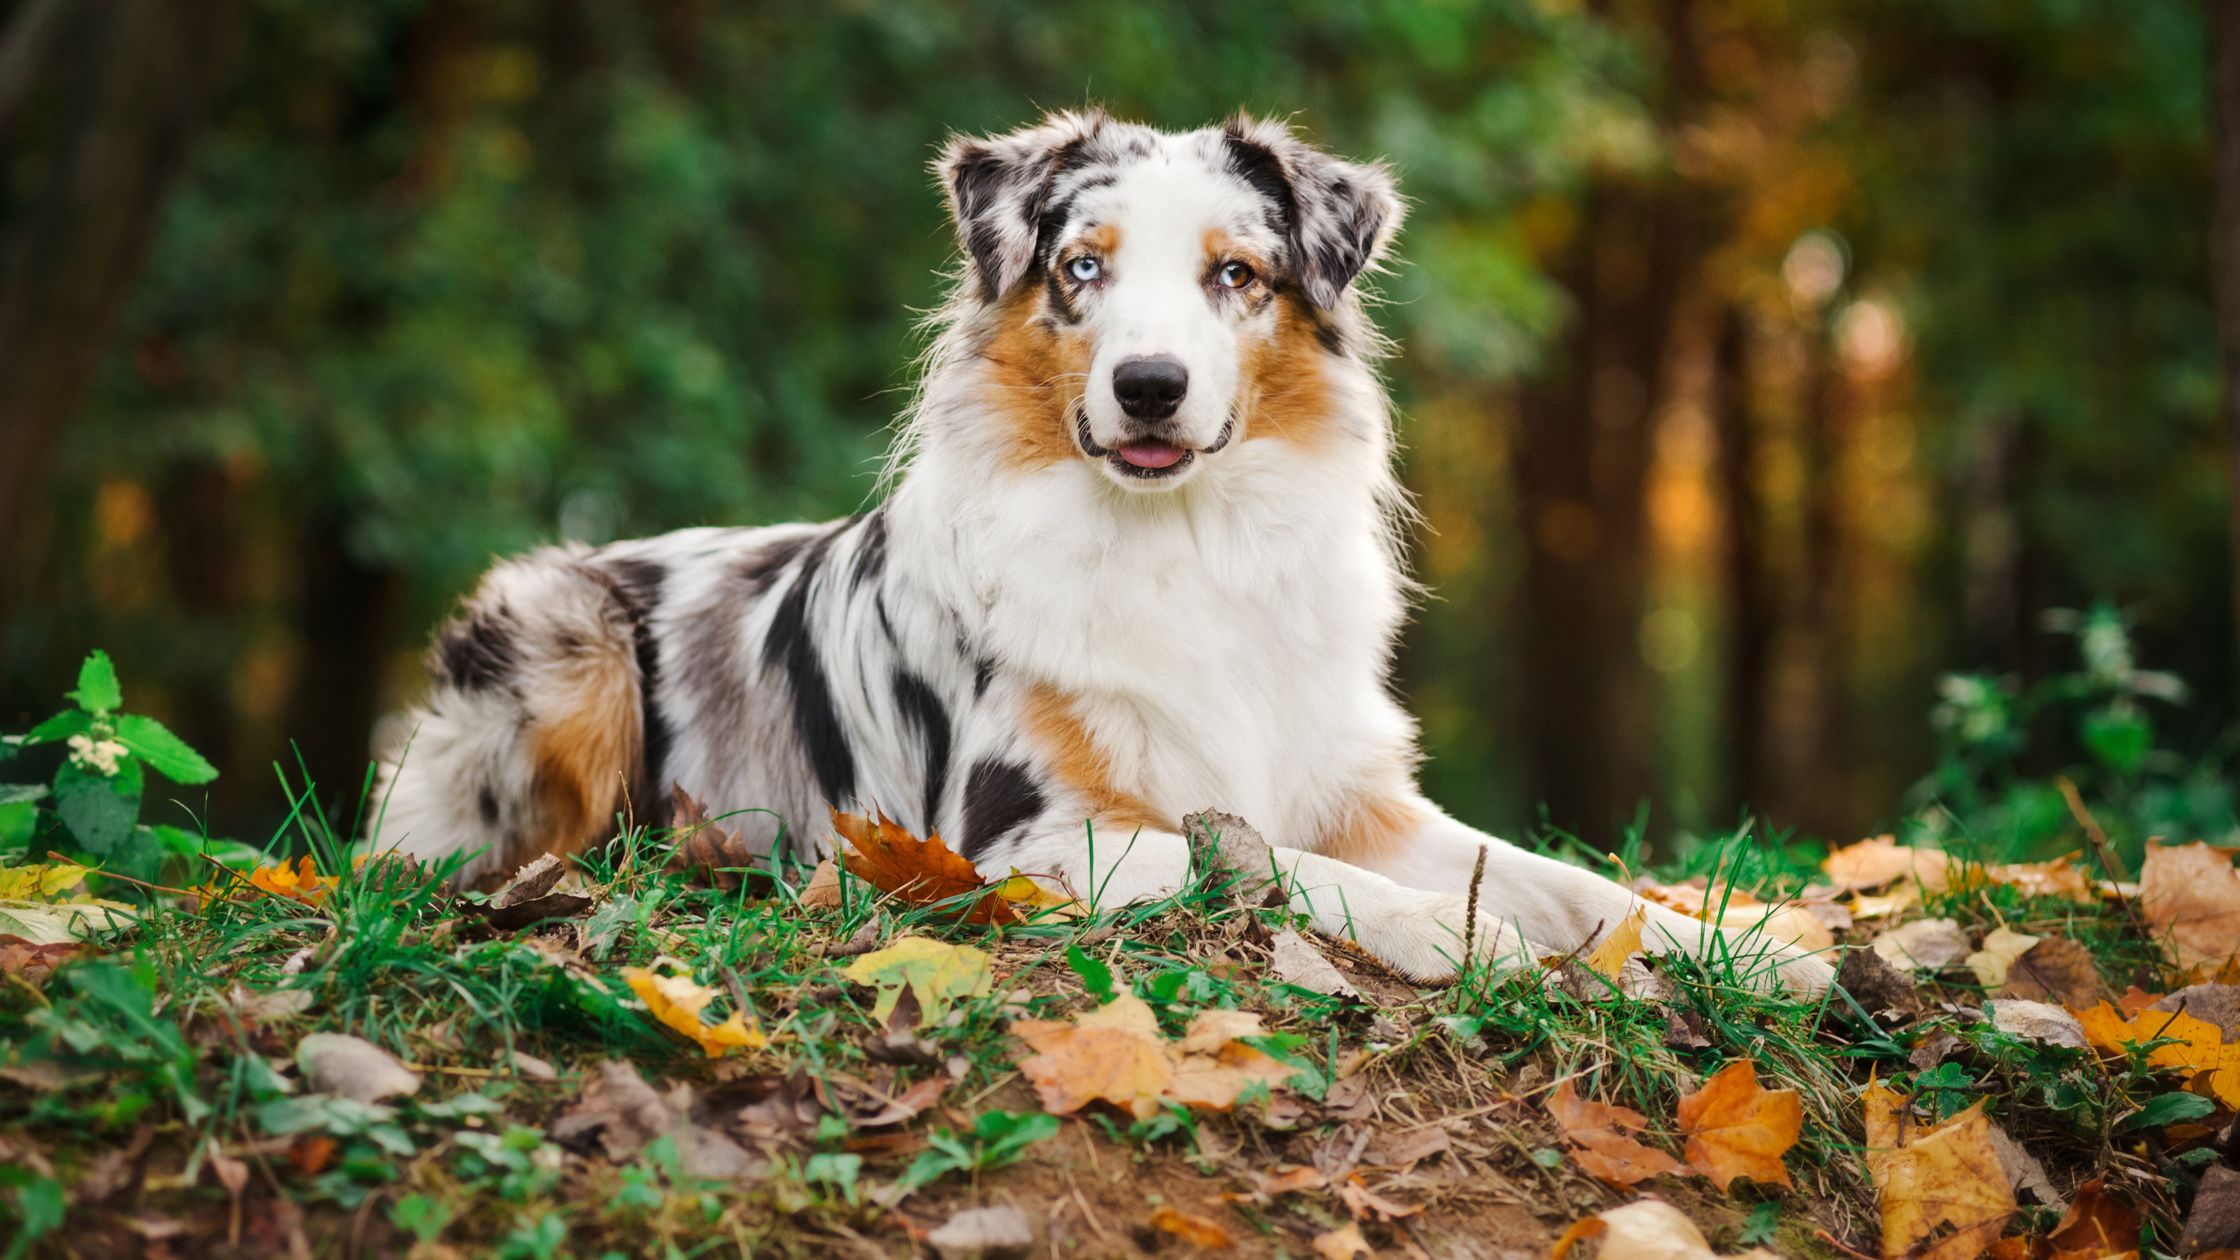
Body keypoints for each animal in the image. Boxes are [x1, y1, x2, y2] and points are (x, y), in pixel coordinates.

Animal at [371, 110, 1836, 990]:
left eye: (1236, 275)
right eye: (1082, 268)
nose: (1147, 386)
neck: (1182, 540)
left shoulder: (1353, 791)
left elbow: (1555, 875)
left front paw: (1748, 946)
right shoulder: (1018, 838)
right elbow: (1257, 859)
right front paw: (1440, 932)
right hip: (560, 631)